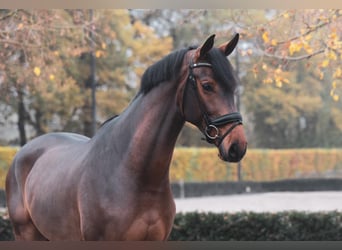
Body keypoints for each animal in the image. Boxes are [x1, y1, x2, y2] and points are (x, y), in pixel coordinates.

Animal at [4, 33, 246, 240]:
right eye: (207, 86)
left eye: (234, 88)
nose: (238, 145)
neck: (133, 171)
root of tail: (24, 152)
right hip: (25, 233)